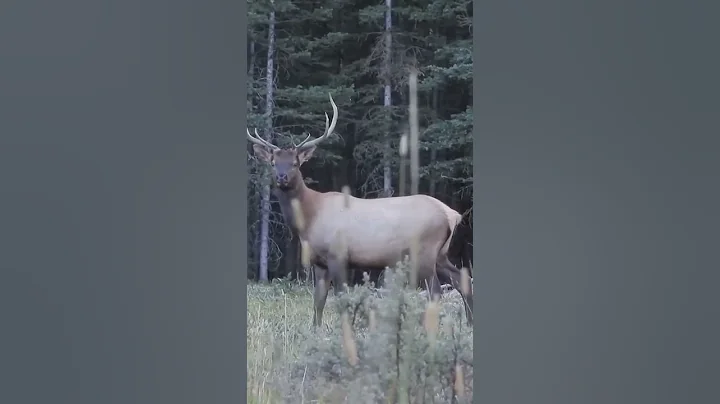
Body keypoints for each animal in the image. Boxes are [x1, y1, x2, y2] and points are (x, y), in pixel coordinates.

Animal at [247, 94, 473, 326]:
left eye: (295, 163)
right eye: (273, 163)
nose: (281, 177)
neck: (309, 219)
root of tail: (452, 214)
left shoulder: (338, 255)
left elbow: (340, 297)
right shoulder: (319, 262)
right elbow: (318, 301)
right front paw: (316, 329)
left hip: (424, 251)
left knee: (436, 290)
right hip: (441, 253)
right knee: (462, 280)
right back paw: (469, 323)